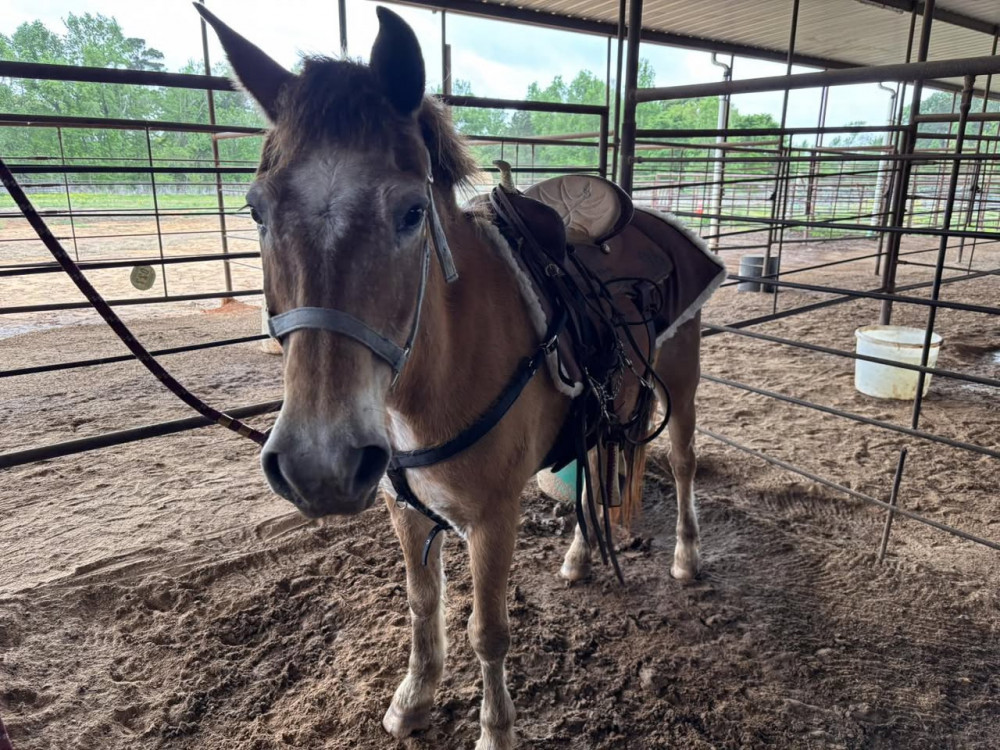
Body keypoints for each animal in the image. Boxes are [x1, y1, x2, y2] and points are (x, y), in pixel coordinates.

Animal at [198, 6, 708, 748]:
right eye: (257, 210)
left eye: (413, 212)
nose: (318, 464)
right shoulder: (402, 506)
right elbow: (421, 602)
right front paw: (414, 698)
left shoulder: (494, 518)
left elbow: (488, 631)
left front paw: (495, 729)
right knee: (596, 463)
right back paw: (581, 558)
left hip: (684, 380)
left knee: (686, 461)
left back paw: (687, 559)